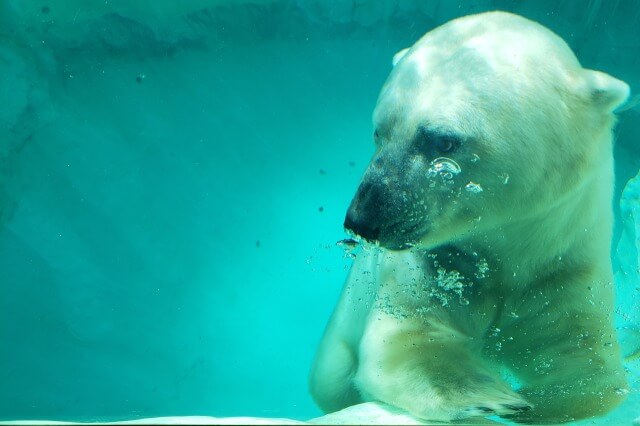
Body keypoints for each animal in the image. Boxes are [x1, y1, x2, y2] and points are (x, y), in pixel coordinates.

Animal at [310, 11, 632, 424]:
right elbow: (409, 339)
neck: (510, 252)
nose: (362, 219)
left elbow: (590, 363)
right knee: (331, 379)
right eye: (379, 131)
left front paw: (533, 402)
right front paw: (494, 397)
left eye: (443, 141)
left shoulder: (563, 266)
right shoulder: (438, 267)